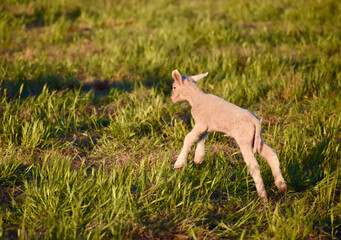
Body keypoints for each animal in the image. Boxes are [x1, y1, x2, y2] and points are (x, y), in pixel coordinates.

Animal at [170, 69, 286, 202]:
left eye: (174, 87)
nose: (171, 99)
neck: (196, 98)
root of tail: (255, 121)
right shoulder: (207, 126)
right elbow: (201, 138)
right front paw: (198, 158)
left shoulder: (201, 123)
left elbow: (188, 138)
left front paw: (179, 163)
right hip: (256, 139)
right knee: (271, 154)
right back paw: (282, 186)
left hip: (244, 140)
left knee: (254, 166)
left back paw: (263, 196)